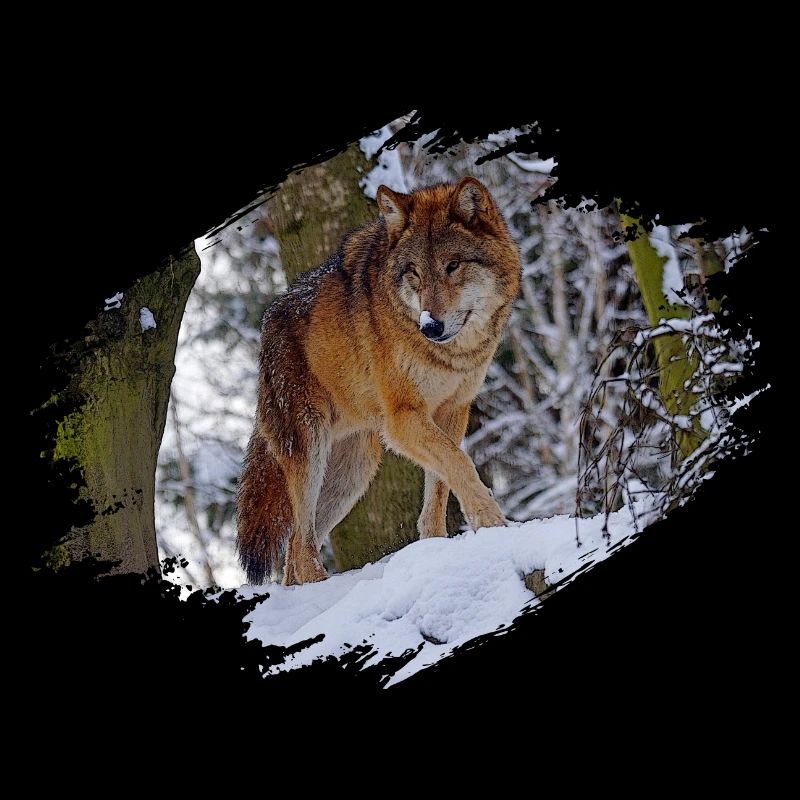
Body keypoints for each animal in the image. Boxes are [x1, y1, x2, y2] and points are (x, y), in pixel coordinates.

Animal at [237, 177, 521, 585]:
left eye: (453, 266)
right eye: (414, 272)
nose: (430, 326)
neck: (451, 355)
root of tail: (267, 323)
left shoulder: (453, 411)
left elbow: (441, 484)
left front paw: (437, 546)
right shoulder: (403, 419)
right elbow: (461, 464)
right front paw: (494, 525)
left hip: (355, 470)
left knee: (294, 551)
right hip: (310, 453)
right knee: (301, 547)